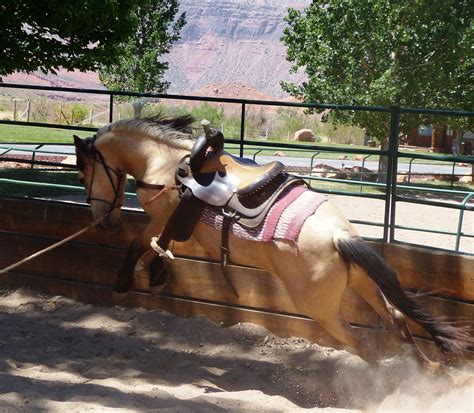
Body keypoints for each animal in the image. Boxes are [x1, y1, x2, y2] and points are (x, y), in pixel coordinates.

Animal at [72, 114, 472, 368]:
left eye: (81, 174)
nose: (101, 220)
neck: (165, 162)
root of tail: (340, 236)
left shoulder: (161, 217)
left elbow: (140, 244)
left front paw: (125, 281)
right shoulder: (174, 226)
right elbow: (162, 247)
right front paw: (154, 273)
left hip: (321, 308)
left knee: (362, 346)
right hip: (364, 284)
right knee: (398, 321)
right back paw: (426, 372)